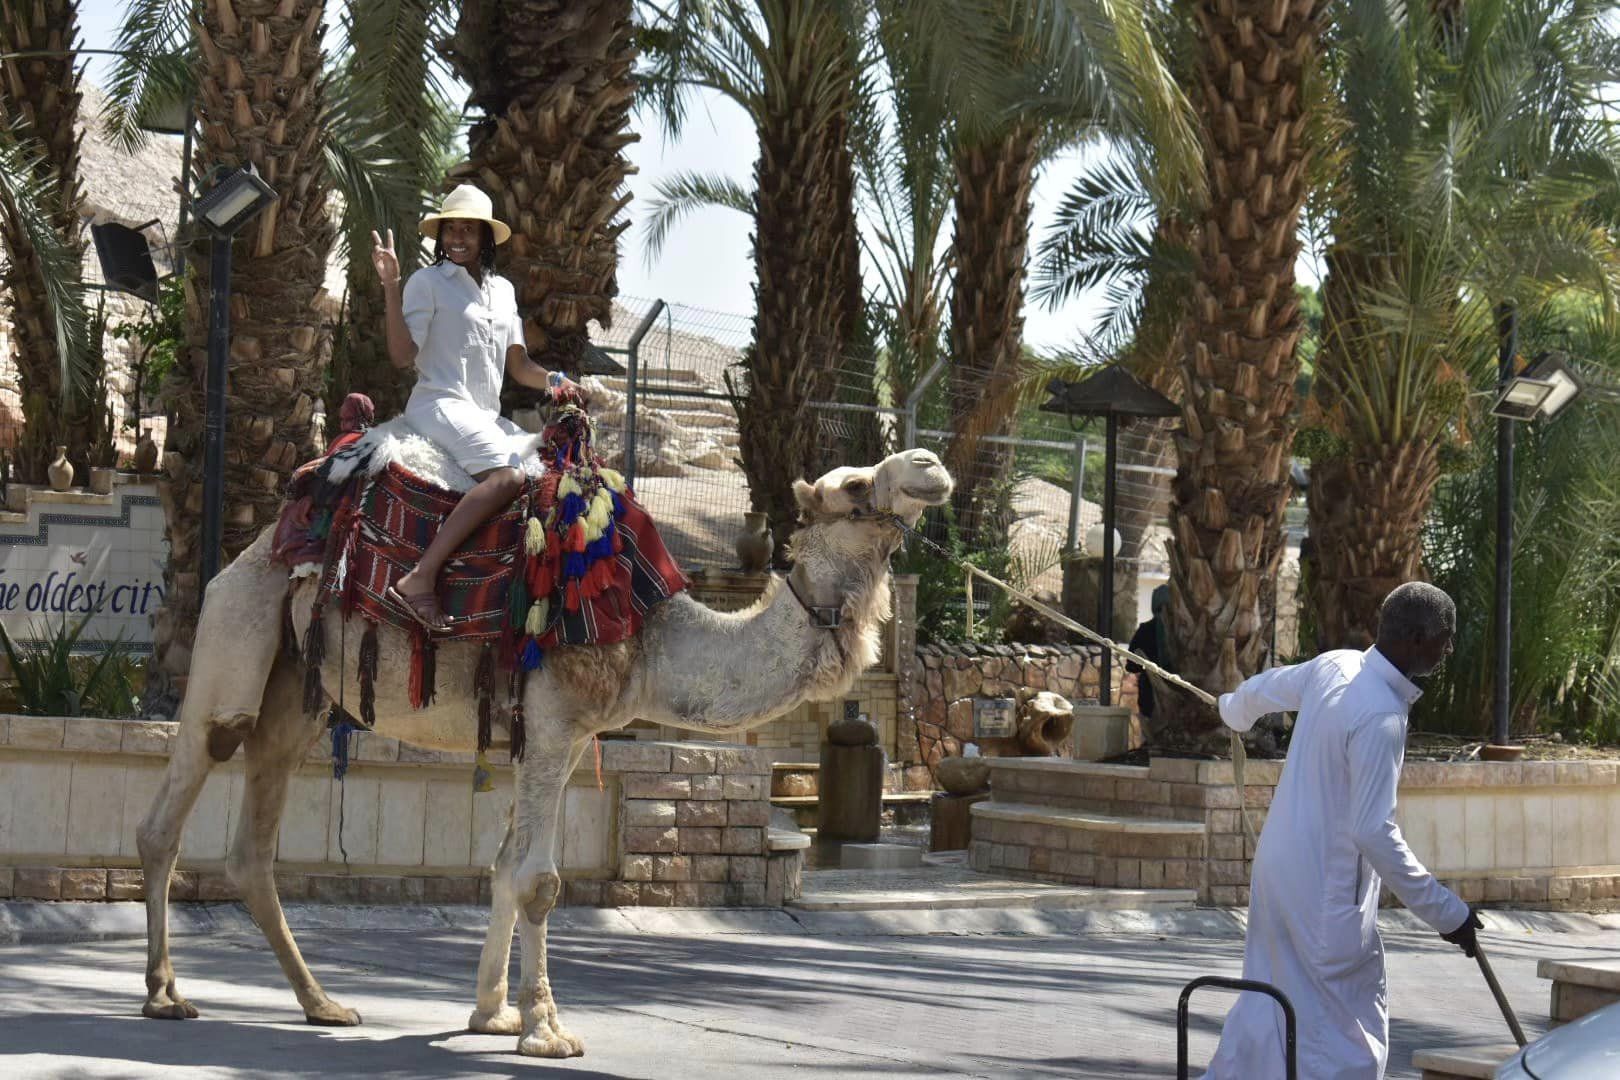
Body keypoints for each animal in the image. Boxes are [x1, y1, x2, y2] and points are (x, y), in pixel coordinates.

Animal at [135, 431, 952, 1058]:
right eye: (853, 484)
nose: (931, 462)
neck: (650, 635)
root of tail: (252, 549)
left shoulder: (563, 737)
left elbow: (504, 869)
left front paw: (492, 1014)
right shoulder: (555, 722)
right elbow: (540, 881)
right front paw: (545, 1031)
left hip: (297, 695)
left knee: (253, 843)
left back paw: (322, 1004)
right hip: (234, 637)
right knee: (171, 808)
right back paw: (165, 996)